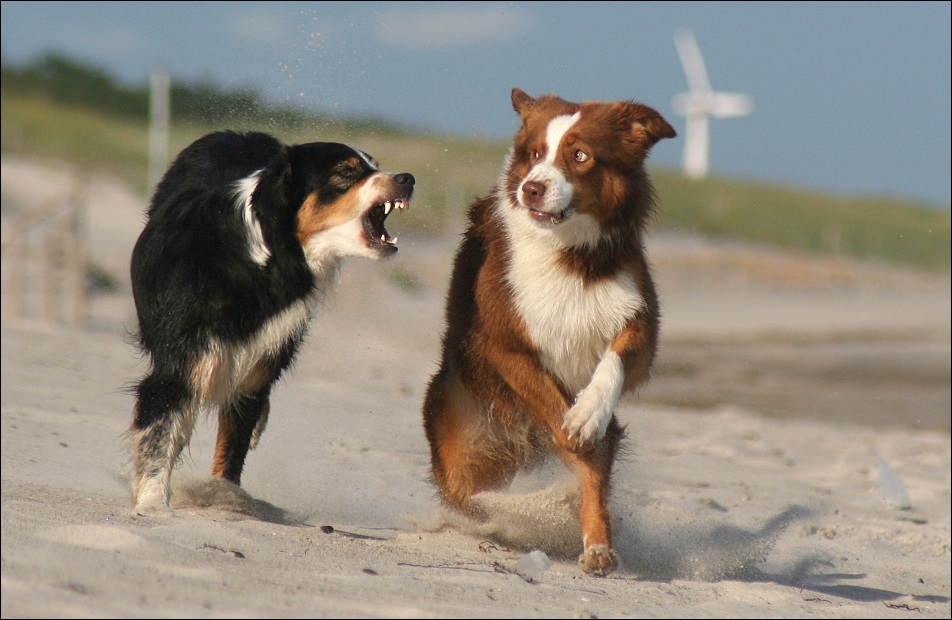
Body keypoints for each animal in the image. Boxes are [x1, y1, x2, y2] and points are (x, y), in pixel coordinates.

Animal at [128, 131, 410, 512]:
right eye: (346, 173)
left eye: (375, 166)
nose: (408, 179)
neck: (265, 258)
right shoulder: (182, 359)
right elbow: (161, 431)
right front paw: (153, 503)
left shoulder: (259, 353)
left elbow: (232, 442)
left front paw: (224, 494)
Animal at [420, 88, 672, 576]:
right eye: (535, 154)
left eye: (580, 155)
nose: (530, 188)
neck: (570, 255)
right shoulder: (507, 344)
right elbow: (560, 421)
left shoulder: (638, 320)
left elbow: (612, 366)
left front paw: (588, 412)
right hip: (463, 441)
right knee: (463, 493)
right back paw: (500, 519)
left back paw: (595, 542)